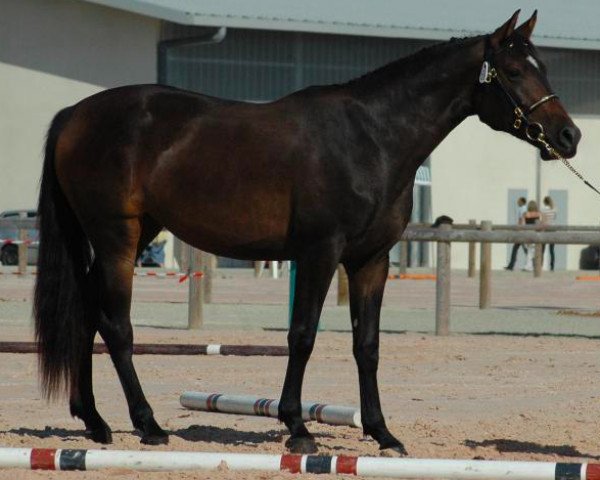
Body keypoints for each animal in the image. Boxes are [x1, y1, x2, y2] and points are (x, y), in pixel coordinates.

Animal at [34, 9, 580, 456]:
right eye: (514, 72)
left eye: (545, 68)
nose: (569, 136)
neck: (372, 137)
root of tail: (74, 115)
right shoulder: (319, 253)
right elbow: (302, 336)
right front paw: (297, 427)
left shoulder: (371, 260)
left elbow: (367, 345)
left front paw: (382, 433)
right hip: (116, 238)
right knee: (116, 326)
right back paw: (147, 424)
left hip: (133, 233)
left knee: (86, 315)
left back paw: (95, 421)